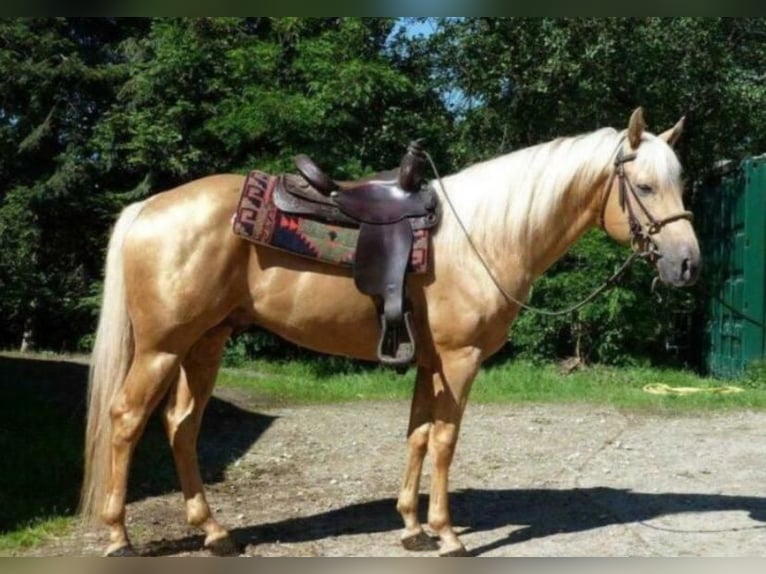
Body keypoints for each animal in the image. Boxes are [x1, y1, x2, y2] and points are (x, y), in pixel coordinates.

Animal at [80, 107, 700, 557]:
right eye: (645, 187)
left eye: (680, 182)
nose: (688, 264)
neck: (481, 236)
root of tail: (147, 208)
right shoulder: (459, 358)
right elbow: (446, 440)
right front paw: (447, 534)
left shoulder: (429, 361)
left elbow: (418, 435)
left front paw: (412, 527)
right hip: (162, 348)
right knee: (127, 420)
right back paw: (119, 537)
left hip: (204, 345)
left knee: (181, 426)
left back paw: (214, 532)